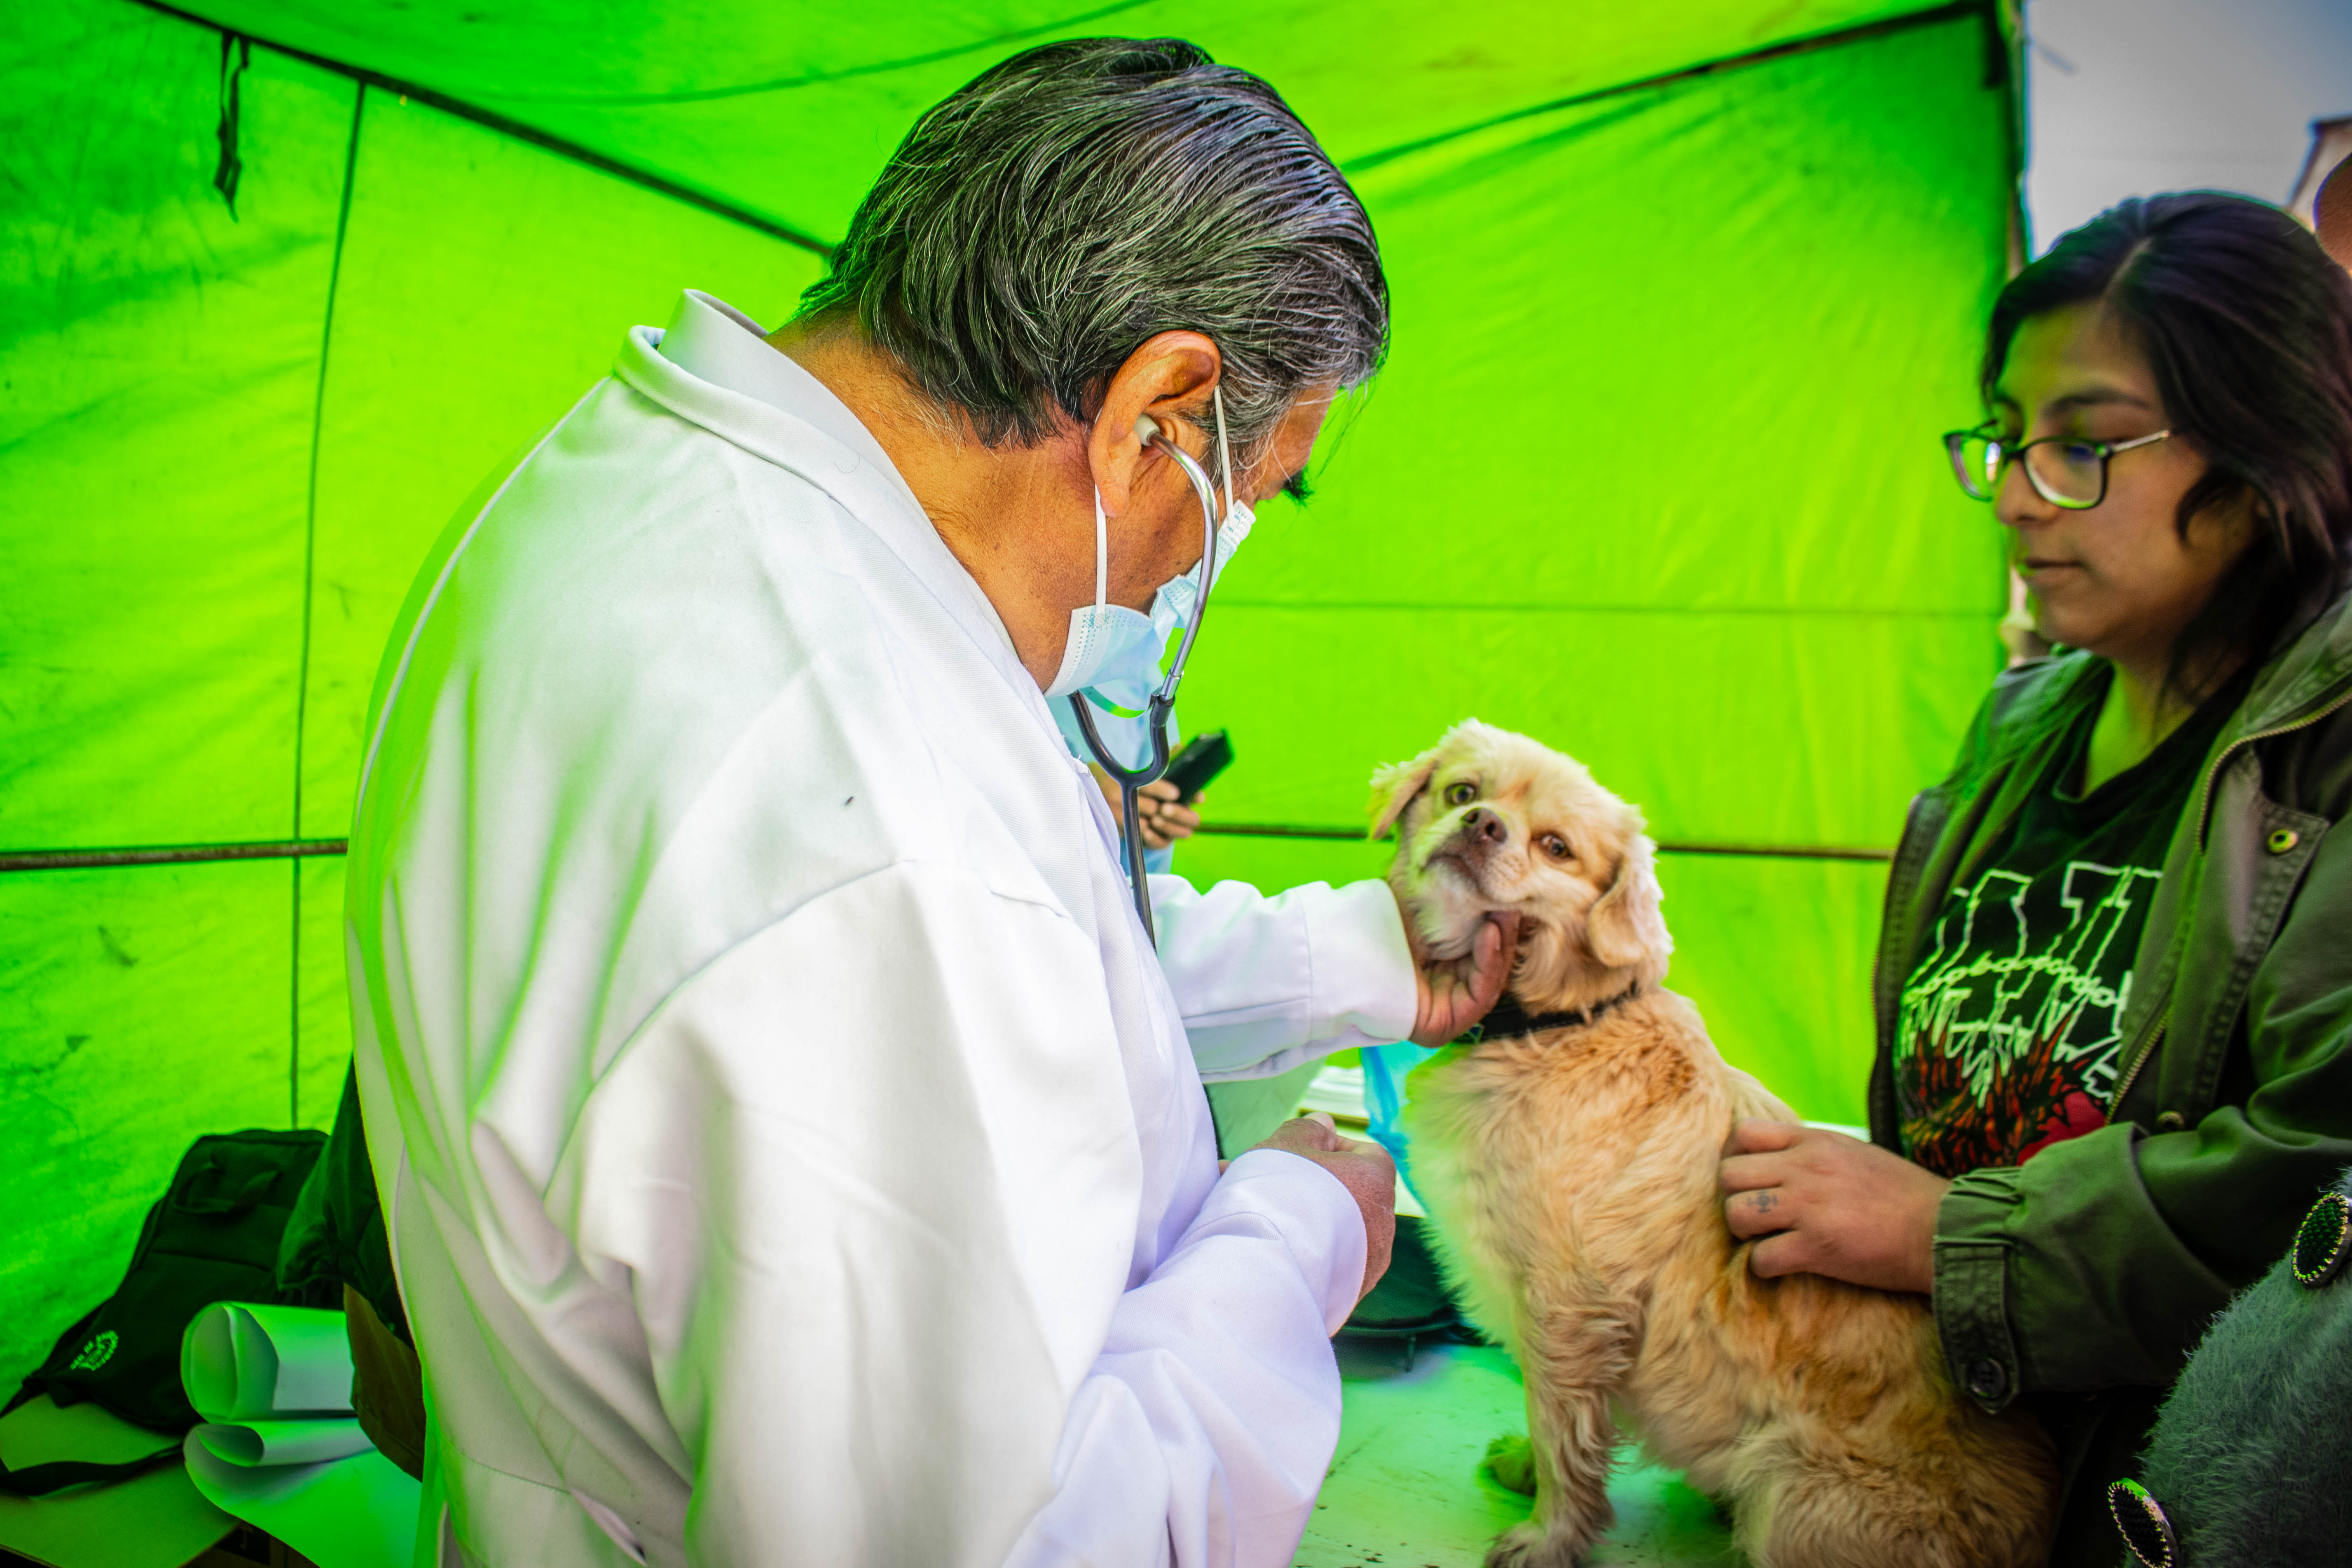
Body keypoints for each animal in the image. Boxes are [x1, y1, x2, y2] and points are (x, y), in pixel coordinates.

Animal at [1374, 724, 2060, 1568]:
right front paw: (1527, 1474)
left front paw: (1549, 1534)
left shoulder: (1569, 1306)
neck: (1553, 1026)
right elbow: (1557, 1423)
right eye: (1462, 792)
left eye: (1556, 847)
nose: (1481, 826)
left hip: (1787, 1503)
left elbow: (1564, 1430)